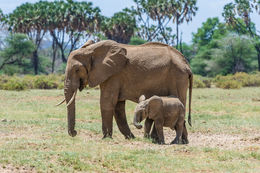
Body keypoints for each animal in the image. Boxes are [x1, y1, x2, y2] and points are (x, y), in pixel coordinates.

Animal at [58, 39, 192, 143]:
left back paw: (169, 141)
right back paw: (181, 142)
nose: (75, 133)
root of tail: (187, 65)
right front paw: (130, 138)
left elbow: (107, 102)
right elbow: (118, 106)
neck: (92, 50)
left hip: (178, 78)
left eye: (76, 69)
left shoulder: (113, 74)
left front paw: (106, 138)